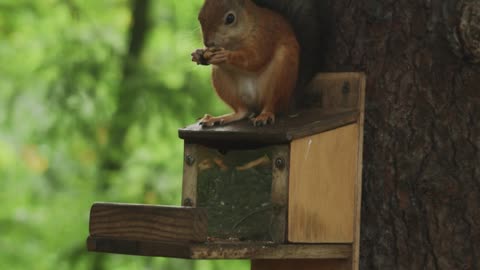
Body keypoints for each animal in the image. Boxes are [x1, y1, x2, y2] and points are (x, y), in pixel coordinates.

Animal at [191, 0, 330, 127]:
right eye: (200, 17)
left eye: (230, 18)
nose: (208, 43)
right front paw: (198, 54)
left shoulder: (264, 36)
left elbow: (255, 58)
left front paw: (226, 55)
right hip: (222, 81)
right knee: (243, 111)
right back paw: (219, 118)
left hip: (281, 75)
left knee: (271, 104)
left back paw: (265, 115)